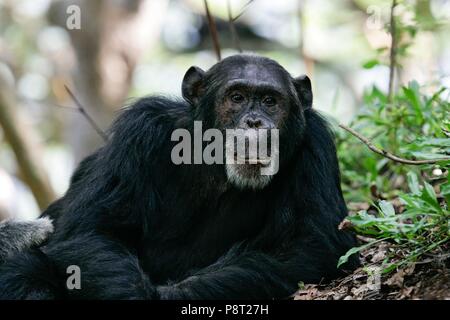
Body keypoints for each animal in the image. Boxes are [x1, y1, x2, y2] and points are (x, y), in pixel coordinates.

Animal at [0, 55, 358, 300]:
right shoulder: (140, 130)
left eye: (271, 101)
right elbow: (91, 231)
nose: (255, 121)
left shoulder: (316, 144)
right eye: (237, 97)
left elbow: (313, 244)